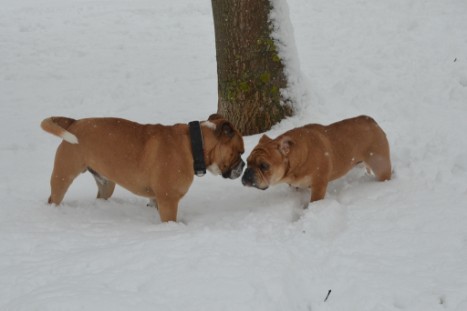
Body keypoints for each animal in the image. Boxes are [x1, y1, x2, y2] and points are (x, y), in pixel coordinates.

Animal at [243, 116, 394, 204]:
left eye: (264, 166)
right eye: (247, 162)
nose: (247, 174)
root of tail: (372, 122)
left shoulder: (319, 184)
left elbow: (315, 200)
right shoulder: (297, 185)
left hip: (380, 165)